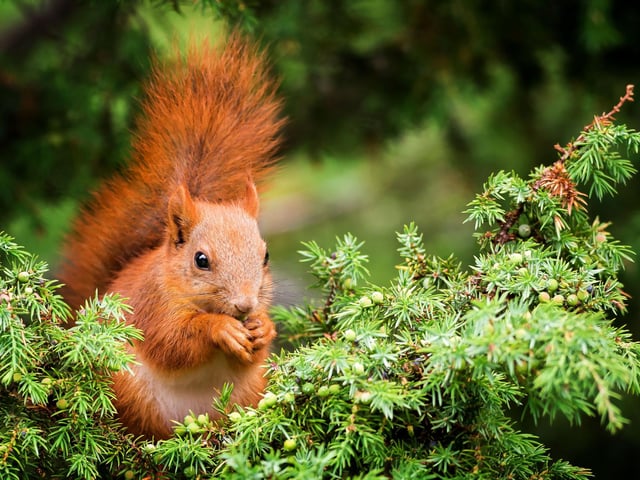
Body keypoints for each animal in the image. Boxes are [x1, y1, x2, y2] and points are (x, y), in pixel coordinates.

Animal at [57, 34, 283, 439]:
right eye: (201, 260)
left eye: (266, 256)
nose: (245, 305)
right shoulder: (150, 307)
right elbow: (173, 344)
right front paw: (219, 329)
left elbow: (251, 354)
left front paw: (263, 327)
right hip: (128, 388)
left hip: (249, 391)